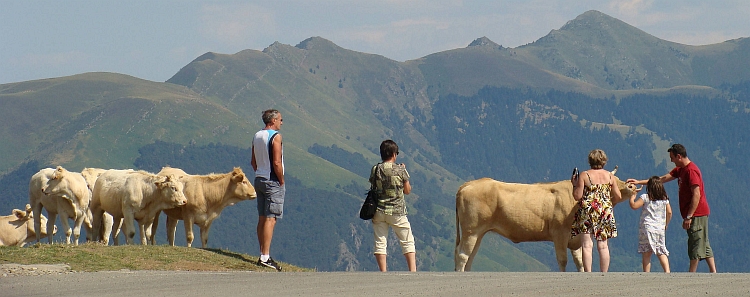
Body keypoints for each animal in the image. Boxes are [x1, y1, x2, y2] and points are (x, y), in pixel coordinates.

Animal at [456, 168, 636, 270]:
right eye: (612, 181)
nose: (632, 185)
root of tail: (468, 184)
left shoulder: (576, 238)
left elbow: (580, 262)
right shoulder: (559, 235)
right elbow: (563, 260)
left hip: (479, 233)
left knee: (470, 256)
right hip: (471, 230)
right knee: (462, 255)